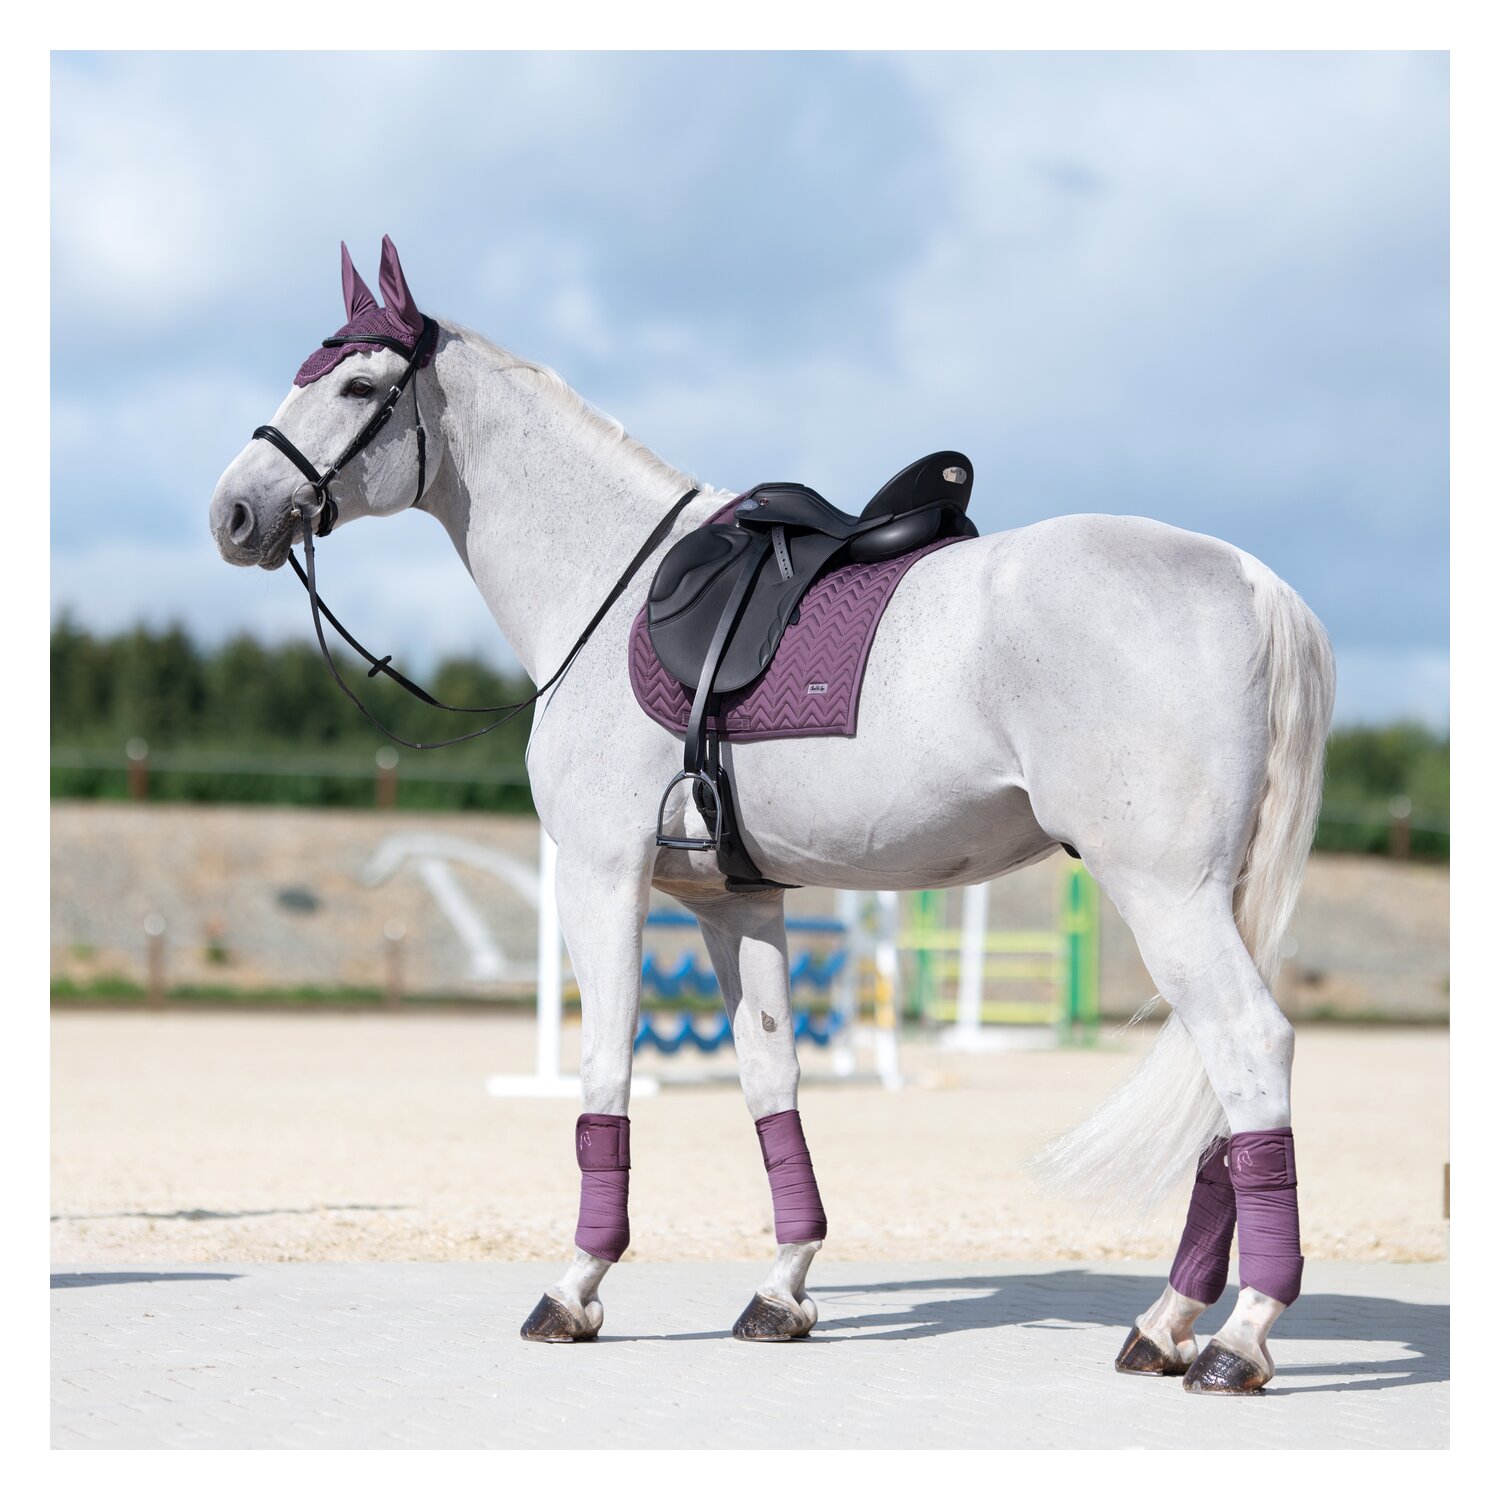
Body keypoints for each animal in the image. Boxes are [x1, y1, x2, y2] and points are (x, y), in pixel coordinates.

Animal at [209, 238, 1335, 1395]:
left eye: (356, 386)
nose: (234, 513)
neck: (607, 587)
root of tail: (1252, 581)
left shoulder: (602, 876)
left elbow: (605, 1071)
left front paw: (576, 1287)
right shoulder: (732, 901)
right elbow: (769, 1075)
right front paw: (783, 1290)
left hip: (1167, 895)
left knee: (1250, 1051)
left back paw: (1239, 1336)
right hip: (1215, 902)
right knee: (1219, 1091)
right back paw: (1170, 1321)